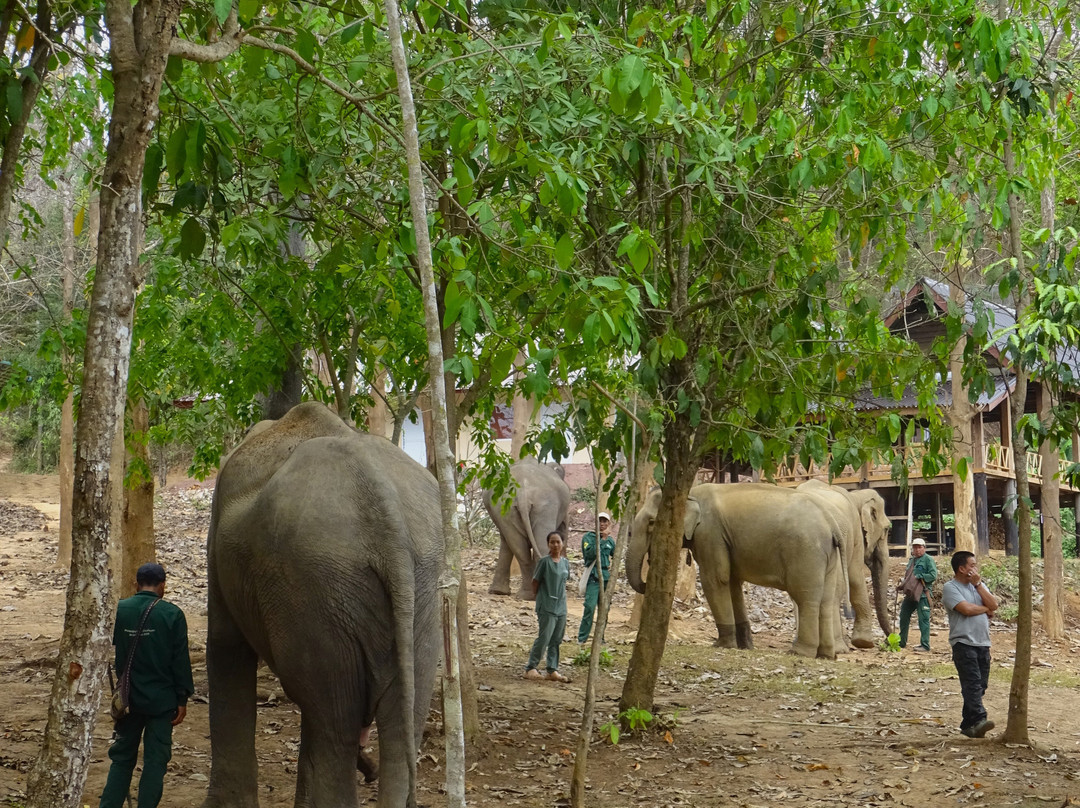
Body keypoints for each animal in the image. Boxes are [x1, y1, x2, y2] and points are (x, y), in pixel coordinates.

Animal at [203, 402, 442, 808]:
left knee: (334, 726)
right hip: (414, 593)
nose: (368, 769)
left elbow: (225, 645)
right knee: (399, 720)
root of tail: (387, 515)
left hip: (317, 584)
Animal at [483, 457, 570, 599]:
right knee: (542, 545)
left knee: (519, 547)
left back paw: (524, 595)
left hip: (505, 509)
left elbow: (506, 542)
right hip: (546, 506)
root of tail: (522, 492)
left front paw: (498, 592)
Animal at [627, 483, 846, 659]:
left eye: (652, 522)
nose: (646, 583)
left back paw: (799, 653)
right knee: (827, 600)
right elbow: (733, 583)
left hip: (806, 552)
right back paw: (826, 655)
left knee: (806, 598)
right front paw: (744, 646)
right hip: (827, 557)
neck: (690, 491)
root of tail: (832, 523)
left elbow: (715, 580)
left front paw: (721, 645)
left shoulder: (710, 533)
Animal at [796, 480, 892, 649]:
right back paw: (838, 647)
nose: (889, 640)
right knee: (835, 590)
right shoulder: (855, 534)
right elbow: (855, 577)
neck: (856, 496)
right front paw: (864, 642)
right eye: (887, 529)